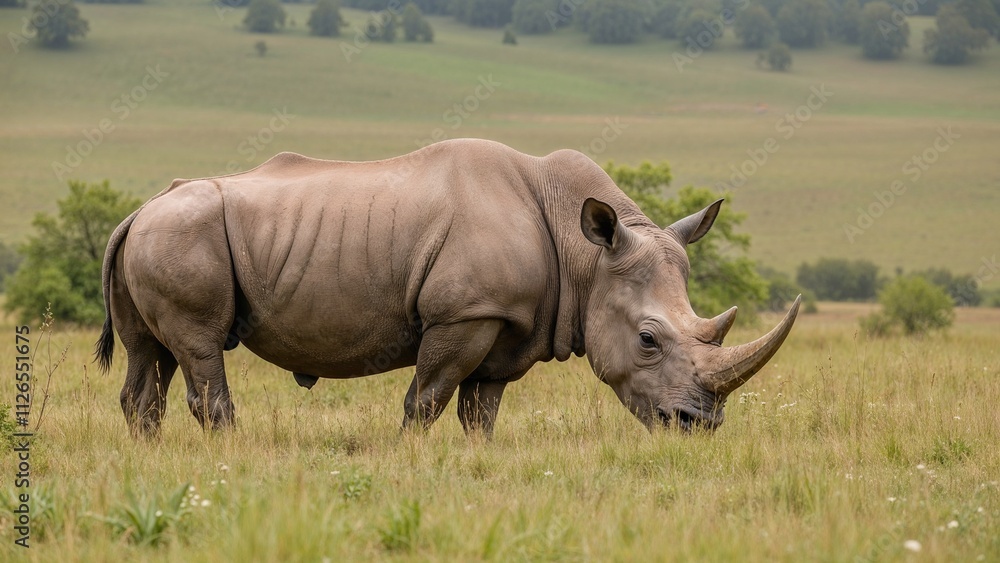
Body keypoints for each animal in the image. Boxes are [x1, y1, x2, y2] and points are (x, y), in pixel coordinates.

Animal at [95, 138, 799, 437]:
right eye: (649, 340)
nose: (699, 427)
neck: (587, 256)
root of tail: (138, 209)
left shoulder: (506, 322)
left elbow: (479, 410)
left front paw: (475, 460)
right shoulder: (463, 314)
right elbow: (427, 399)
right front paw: (410, 458)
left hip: (158, 236)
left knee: (148, 356)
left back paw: (150, 452)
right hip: (182, 235)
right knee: (199, 347)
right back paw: (230, 453)